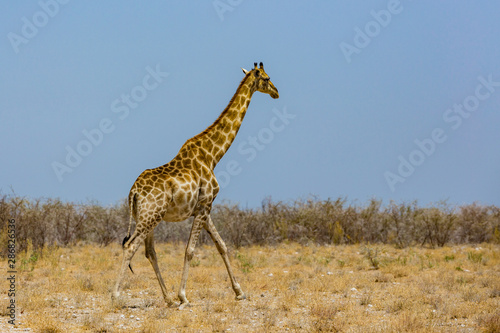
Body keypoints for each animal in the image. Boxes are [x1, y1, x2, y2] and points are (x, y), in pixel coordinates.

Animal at [111, 61, 280, 308]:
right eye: (267, 78)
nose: (277, 92)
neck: (213, 155)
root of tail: (133, 191)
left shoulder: (204, 208)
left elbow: (221, 245)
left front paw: (239, 292)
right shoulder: (205, 205)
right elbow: (190, 250)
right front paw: (183, 296)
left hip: (148, 217)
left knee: (149, 251)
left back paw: (168, 299)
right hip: (150, 216)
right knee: (131, 246)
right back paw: (116, 295)